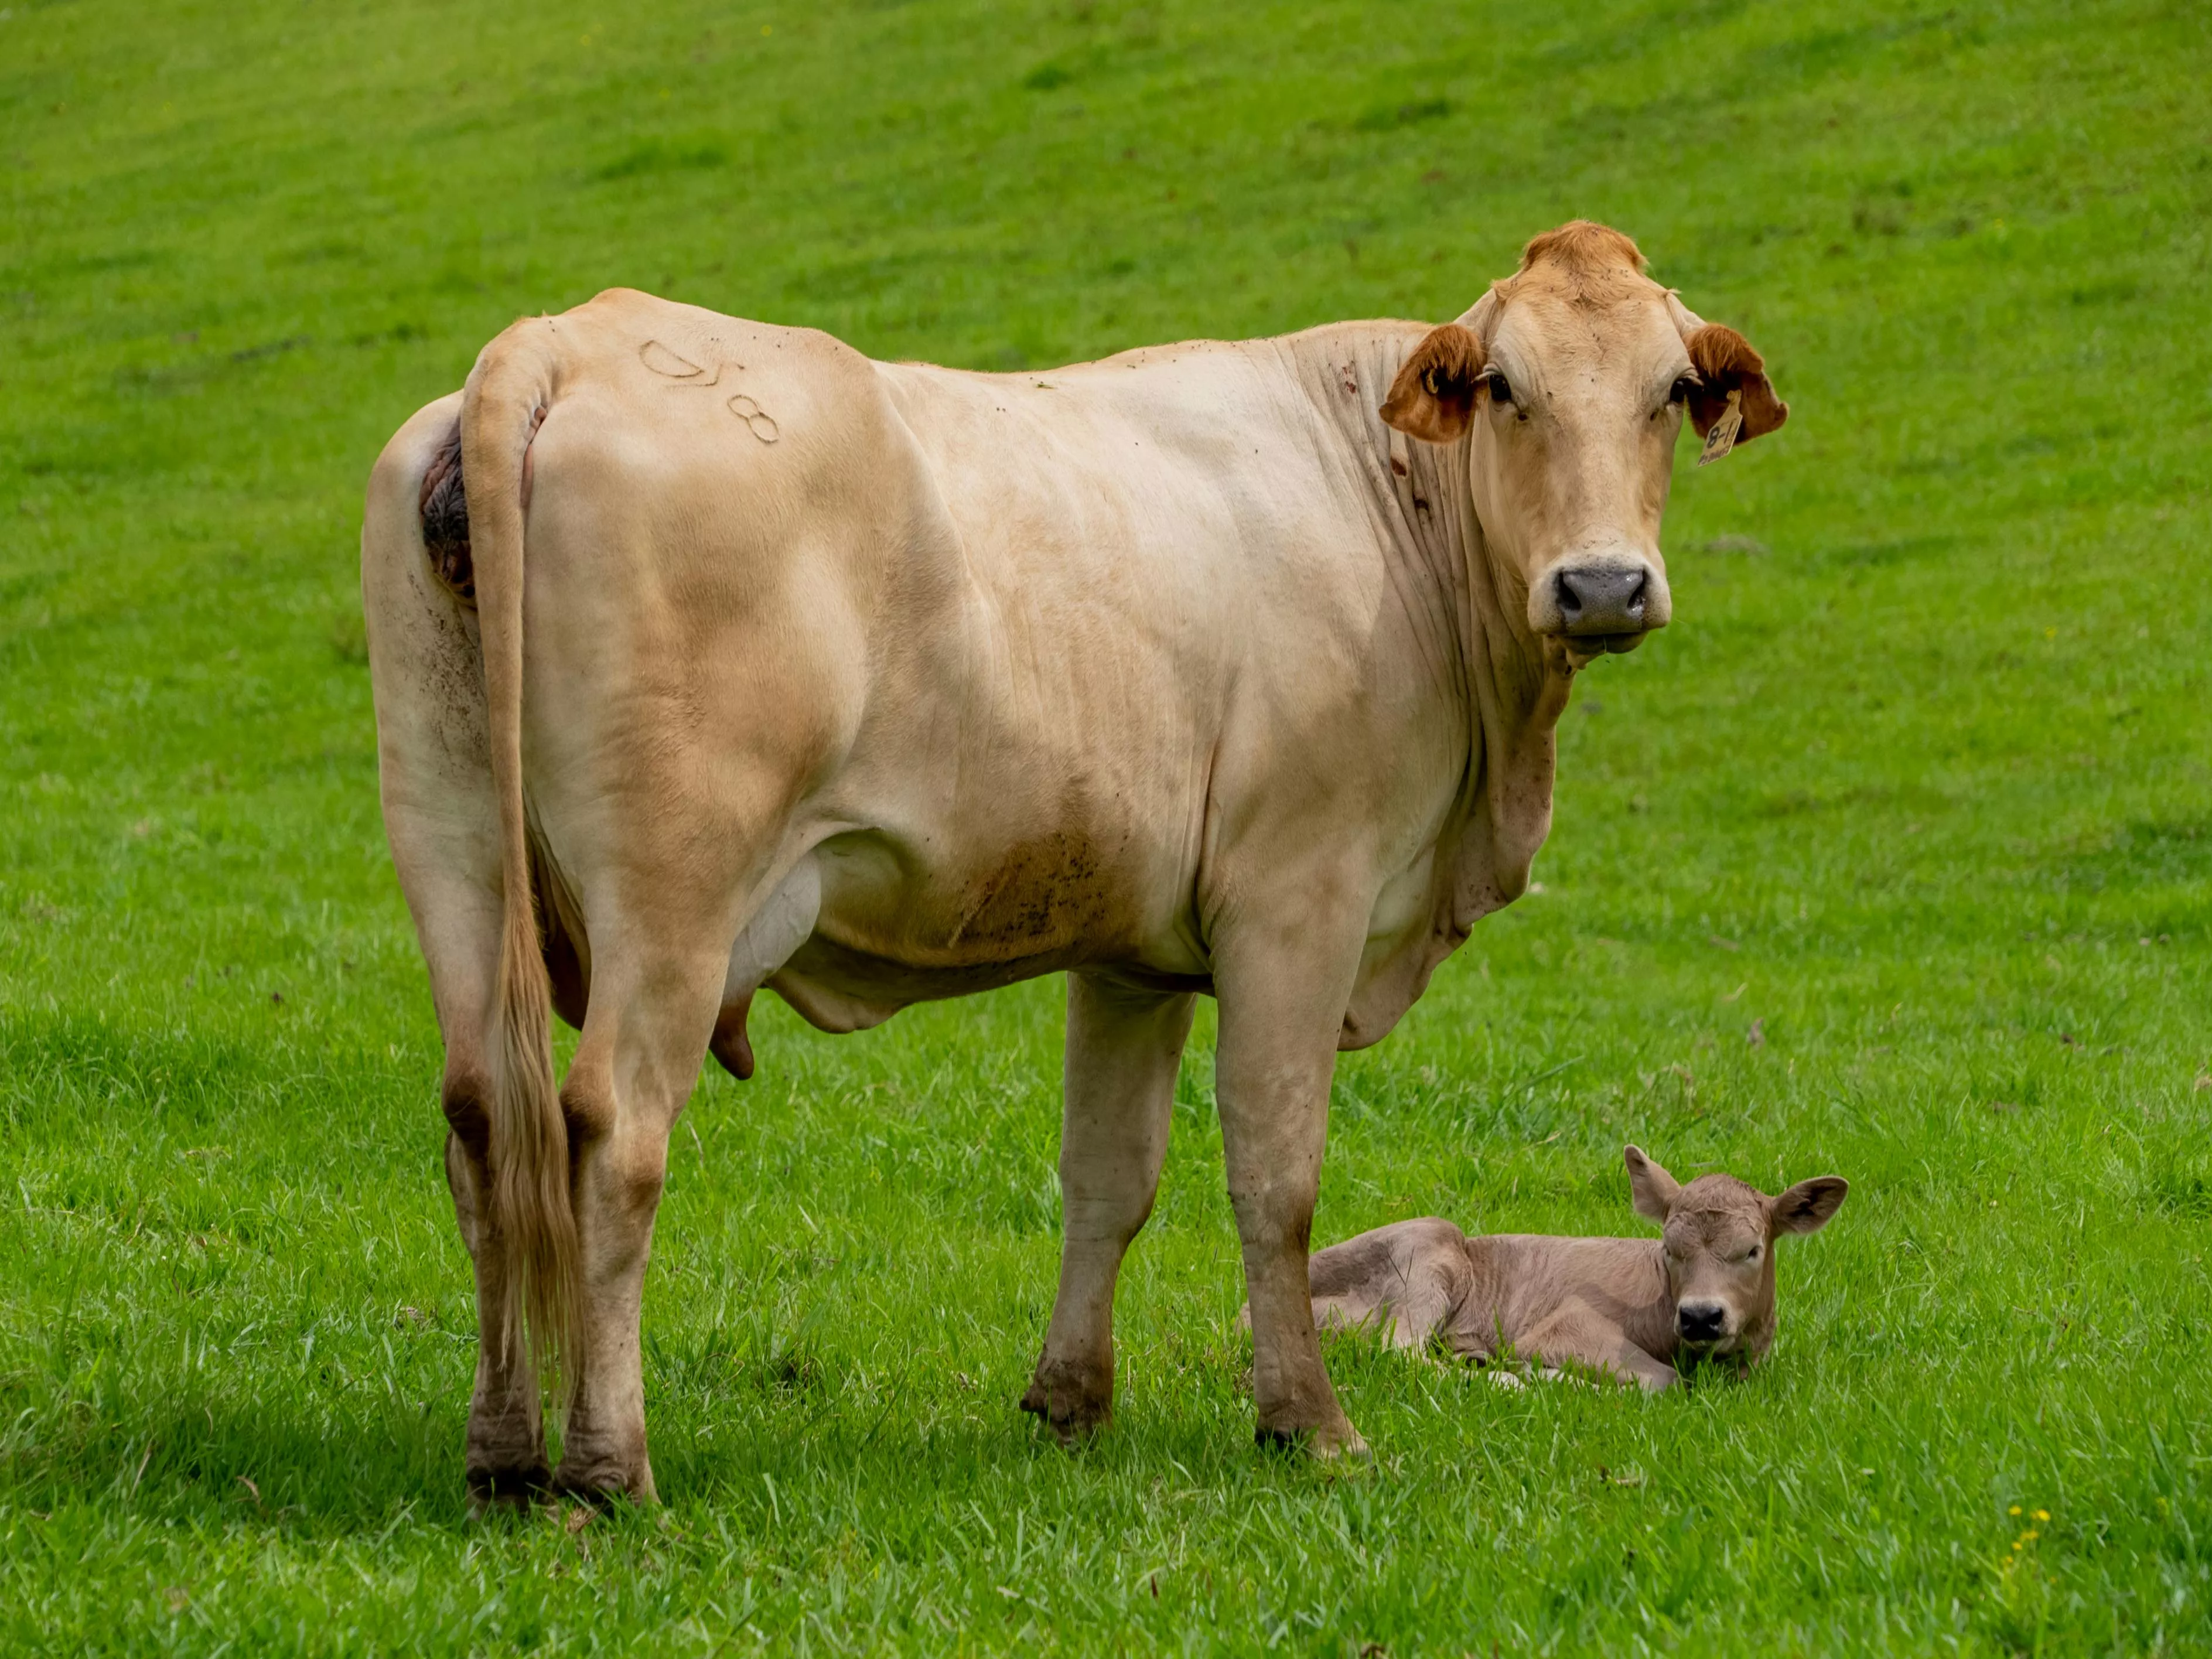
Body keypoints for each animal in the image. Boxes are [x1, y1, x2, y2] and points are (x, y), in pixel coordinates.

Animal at [360, 220, 1788, 1505]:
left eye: (1671, 390)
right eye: (1503, 387)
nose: (1601, 586)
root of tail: (565, 338)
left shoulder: (1132, 950)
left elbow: (1110, 1176)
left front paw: (1070, 1404)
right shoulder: (1298, 900)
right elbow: (1276, 1177)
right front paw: (1308, 1424)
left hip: (448, 841)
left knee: (485, 1118)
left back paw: (502, 1457)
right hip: (674, 891)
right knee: (613, 1132)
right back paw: (610, 1469)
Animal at [1293, 1146, 1849, 1390]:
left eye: (1752, 1250)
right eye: (1670, 1250)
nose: (1700, 1317)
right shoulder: (1567, 1326)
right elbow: (1663, 1381)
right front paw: (1547, 1375)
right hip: (1428, 1250)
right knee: (1397, 1349)